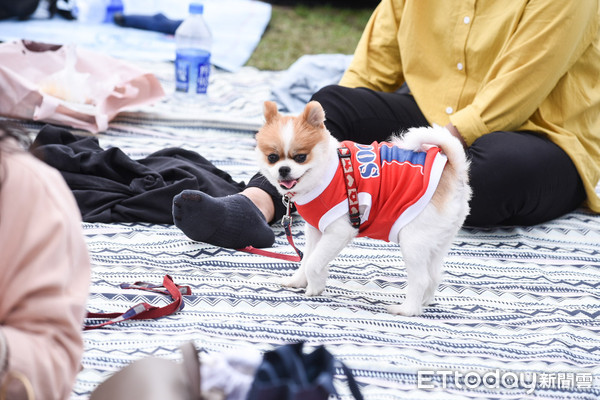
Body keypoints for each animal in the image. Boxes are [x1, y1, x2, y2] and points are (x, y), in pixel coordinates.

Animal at [255, 101, 472, 316]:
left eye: (301, 157)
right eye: (272, 157)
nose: (284, 170)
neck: (325, 174)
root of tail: (453, 170)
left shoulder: (339, 231)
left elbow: (313, 262)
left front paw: (315, 286)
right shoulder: (316, 230)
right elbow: (306, 257)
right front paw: (298, 281)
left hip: (412, 241)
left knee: (421, 279)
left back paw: (406, 310)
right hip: (436, 242)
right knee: (434, 275)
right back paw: (424, 302)